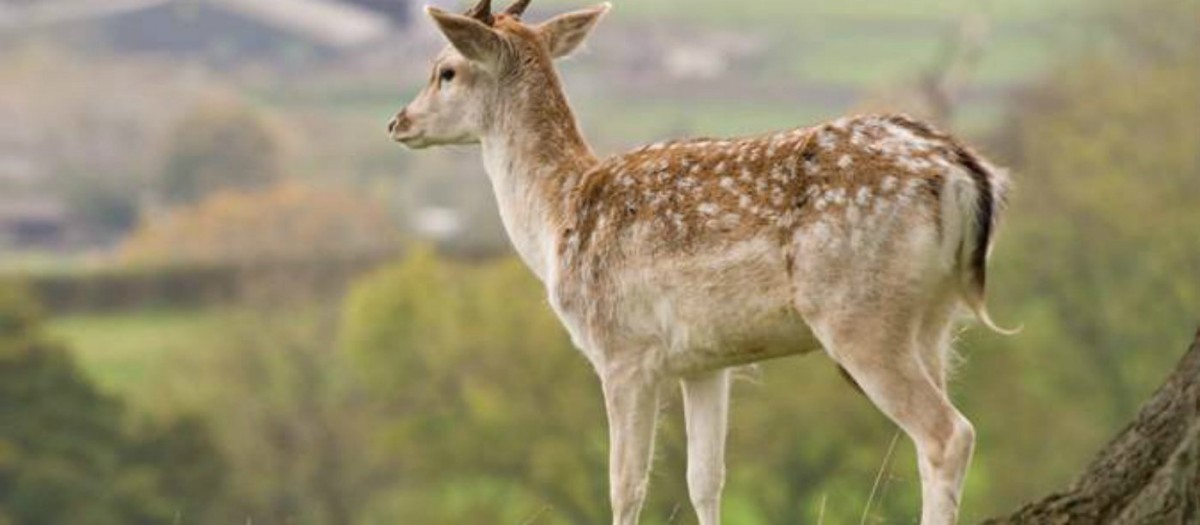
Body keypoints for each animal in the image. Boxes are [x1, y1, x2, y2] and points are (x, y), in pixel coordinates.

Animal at [388, 2, 1008, 522]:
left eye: (445, 70)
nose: (397, 122)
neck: (558, 219)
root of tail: (965, 172)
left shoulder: (622, 351)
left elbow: (626, 484)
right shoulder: (706, 362)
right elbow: (705, 479)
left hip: (859, 315)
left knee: (947, 434)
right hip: (934, 319)